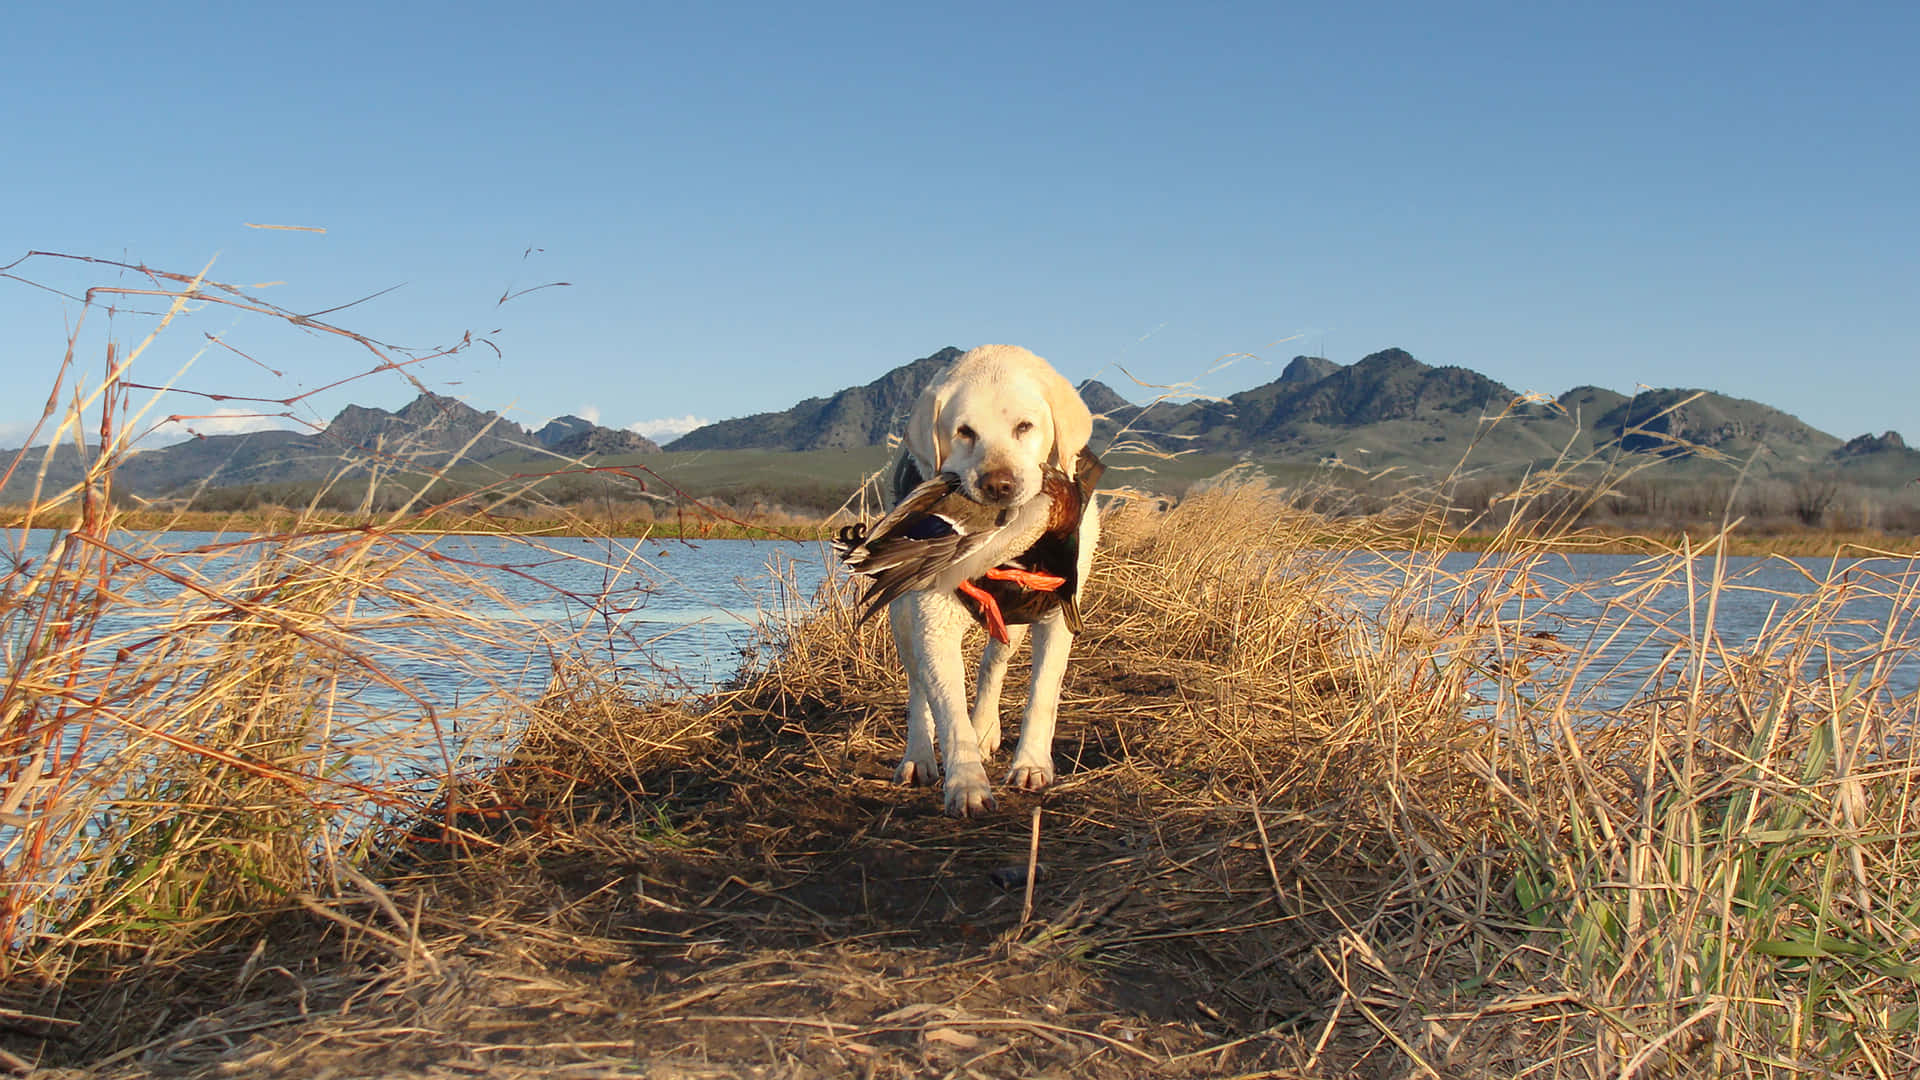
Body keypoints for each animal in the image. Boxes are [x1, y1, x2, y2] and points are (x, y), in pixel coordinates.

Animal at [856, 343, 1098, 814]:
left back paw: (986, 727)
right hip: (903, 620)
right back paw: (919, 757)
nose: (998, 485)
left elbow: (1042, 696)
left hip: (1014, 626)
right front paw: (967, 784)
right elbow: (949, 713)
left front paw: (1031, 765)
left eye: (1025, 425)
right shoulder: (933, 624)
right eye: (965, 431)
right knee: (919, 690)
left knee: (992, 665)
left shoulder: (1056, 620)